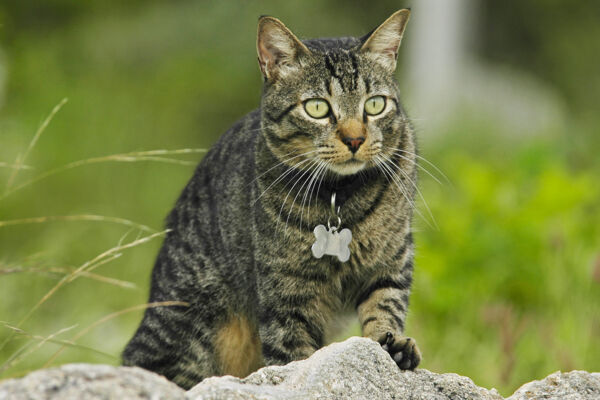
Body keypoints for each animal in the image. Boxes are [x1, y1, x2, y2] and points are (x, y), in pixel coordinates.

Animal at [122, 9, 422, 390]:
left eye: (375, 104)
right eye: (317, 107)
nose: (355, 139)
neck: (342, 198)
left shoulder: (392, 258)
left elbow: (385, 306)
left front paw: (391, 344)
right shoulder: (286, 291)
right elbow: (295, 355)